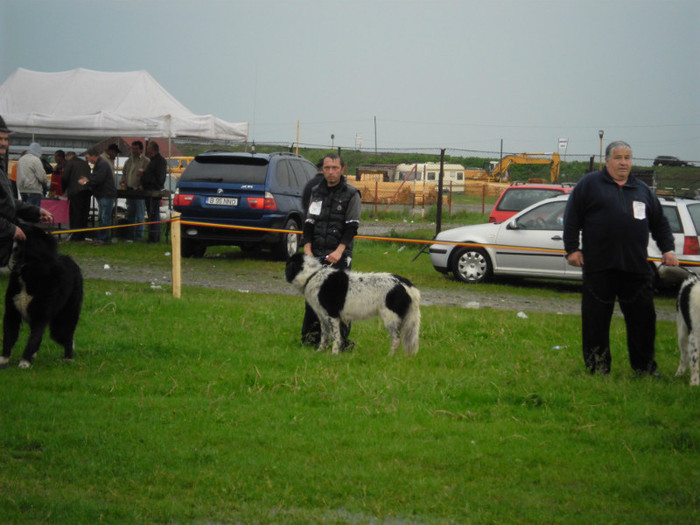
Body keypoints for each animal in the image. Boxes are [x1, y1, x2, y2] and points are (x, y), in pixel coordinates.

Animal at [0, 225, 83, 368]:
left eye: (29, 231)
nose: (17, 227)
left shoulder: (40, 314)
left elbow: (33, 339)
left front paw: (24, 362)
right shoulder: (12, 312)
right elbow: (9, 336)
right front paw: (4, 359)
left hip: (63, 318)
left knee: (67, 335)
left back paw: (68, 358)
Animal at [286, 254, 422, 356]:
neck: (312, 275)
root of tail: (405, 283)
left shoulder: (332, 316)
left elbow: (336, 337)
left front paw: (334, 354)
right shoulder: (323, 318)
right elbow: (324, 337)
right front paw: (320, 351)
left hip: (390, 318)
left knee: (396, 340)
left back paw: (389, 357)